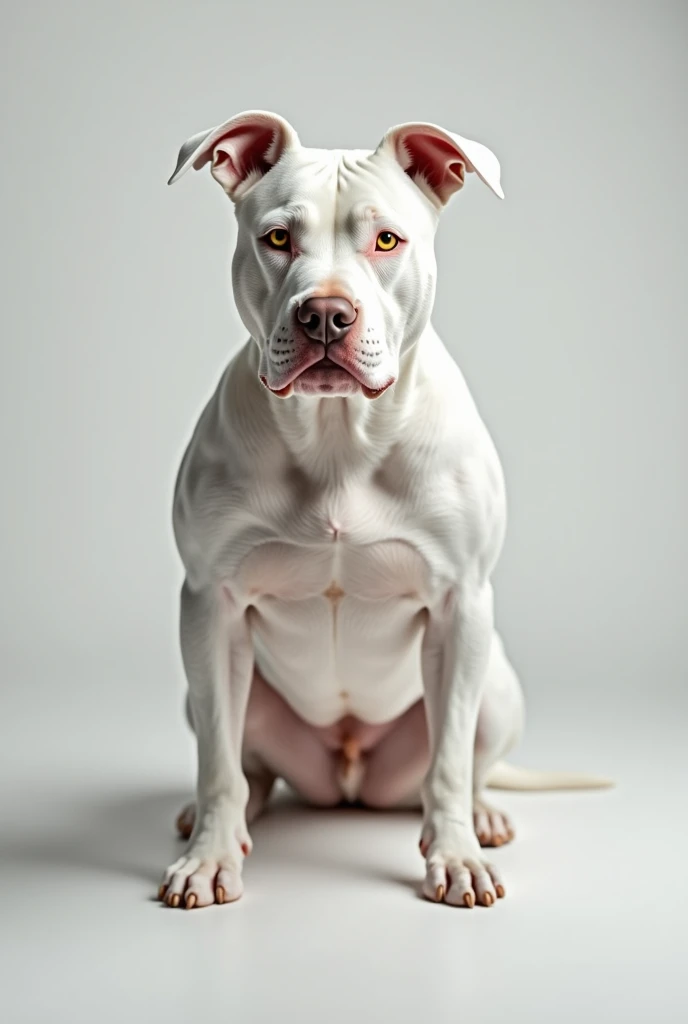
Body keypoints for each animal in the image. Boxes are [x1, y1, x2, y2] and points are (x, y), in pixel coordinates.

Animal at [159, 112, 606, 913]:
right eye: (278, 238)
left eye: (387, 240)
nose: (325, 315)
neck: (339, 433)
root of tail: (347, 777)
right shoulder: (209, 606)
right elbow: (217, 760)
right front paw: (209, 858)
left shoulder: (461, 605)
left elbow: (451, 759)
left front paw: (456, 856)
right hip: (219, 686)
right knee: (246, 763)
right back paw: (232, 817)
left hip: (495, 686)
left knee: (466, 762)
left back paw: (483, 816)